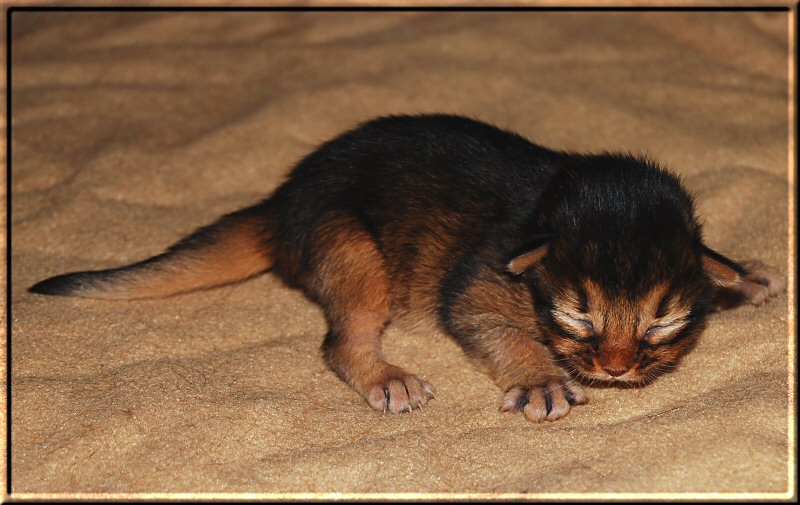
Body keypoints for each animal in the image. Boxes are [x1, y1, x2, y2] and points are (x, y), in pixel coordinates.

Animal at [28, 114, 784, 422]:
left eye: (662, 325)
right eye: (577, 315)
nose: (617, 368)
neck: (547, 204)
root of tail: (282, 202)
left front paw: (743, 274)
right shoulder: (477, 283)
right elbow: (499, 331)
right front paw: (539, 380)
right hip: (351, 248)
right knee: (340, 340)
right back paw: (385, 378)